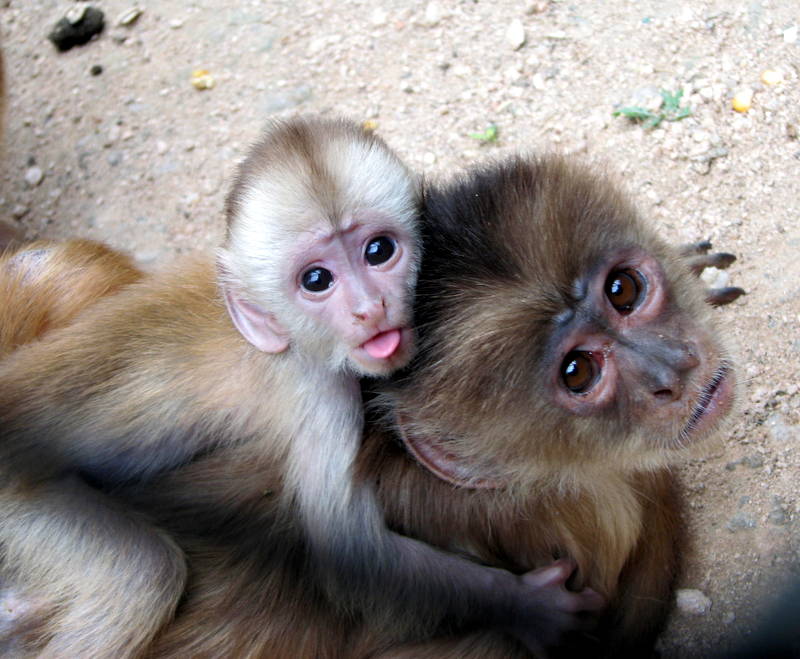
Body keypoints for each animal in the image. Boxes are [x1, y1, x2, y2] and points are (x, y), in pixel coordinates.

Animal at [0, 120, 600, 657]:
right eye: (317, 280)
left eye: (379, 251)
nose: (370, 308)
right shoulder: (318, 391)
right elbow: (352, 557)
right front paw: (527, 606)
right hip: (19, 509)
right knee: (142, 575)